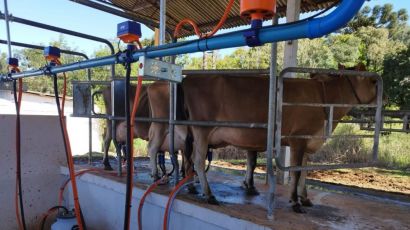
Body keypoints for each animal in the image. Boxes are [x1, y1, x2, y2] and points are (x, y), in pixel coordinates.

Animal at [152, 63, 376, 212]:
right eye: (373, 80)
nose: (382, 97)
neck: (325, 99)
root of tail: (189, 78)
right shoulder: (298, 140)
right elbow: (295, 173)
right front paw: (295, 202)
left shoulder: (308, 141)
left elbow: (303, 172)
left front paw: (305, 198)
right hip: (201, 130)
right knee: (196, 160)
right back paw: (209, 194)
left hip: (193, 132)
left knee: (188, 159)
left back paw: (191, 186)